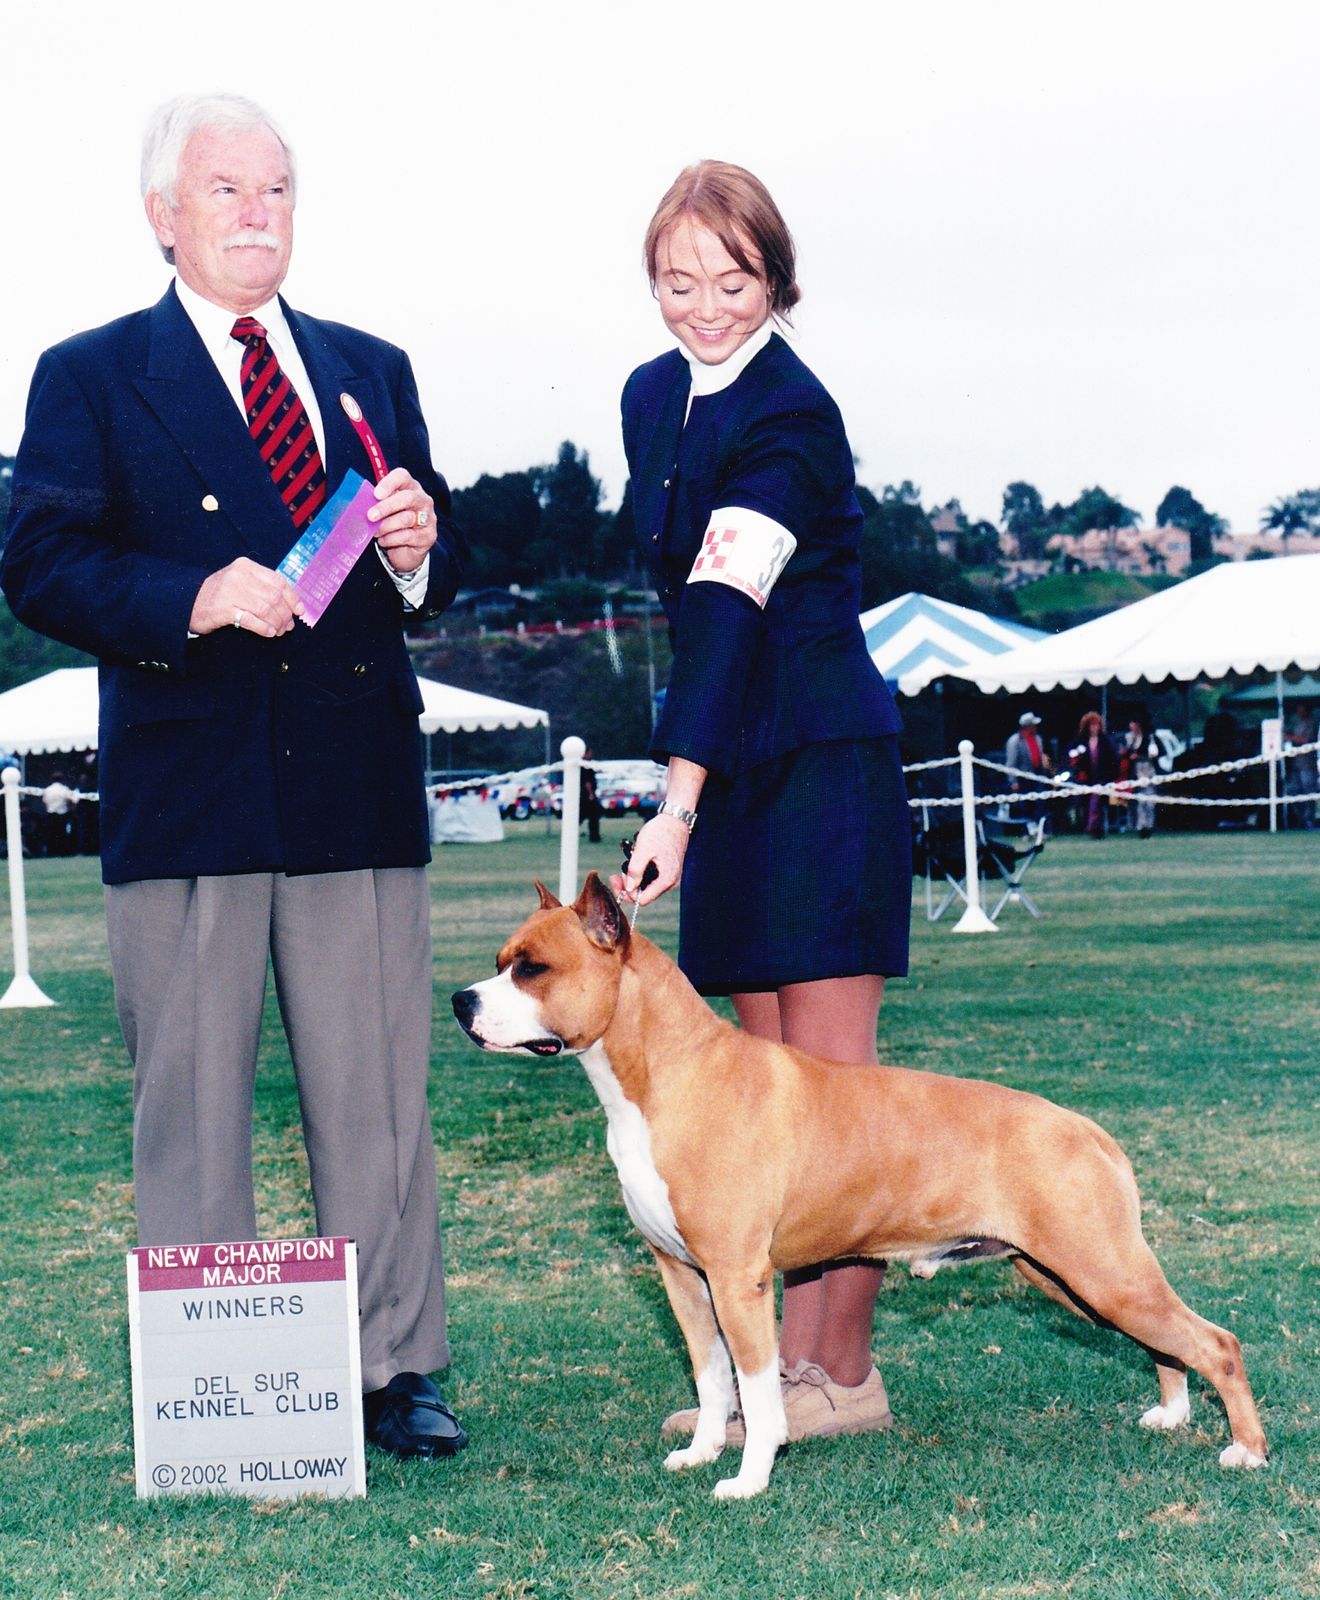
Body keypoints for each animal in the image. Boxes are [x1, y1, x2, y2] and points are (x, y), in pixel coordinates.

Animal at [451, 874, 1268, 1499]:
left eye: (532, 968)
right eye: (500, 961)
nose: (461, 1001)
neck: (666, 1074)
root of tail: (1085, 1129)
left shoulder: (738, 1279)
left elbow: (755, 1387)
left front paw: (748, 1481)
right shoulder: (682, 1274)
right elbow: (712, 1376)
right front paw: (702, 1451)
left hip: (1101, 1270)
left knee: (1216, 1342)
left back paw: (1247, 1450)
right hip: (1072, 1278)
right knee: (1167, 1343)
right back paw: (1171, 1415)